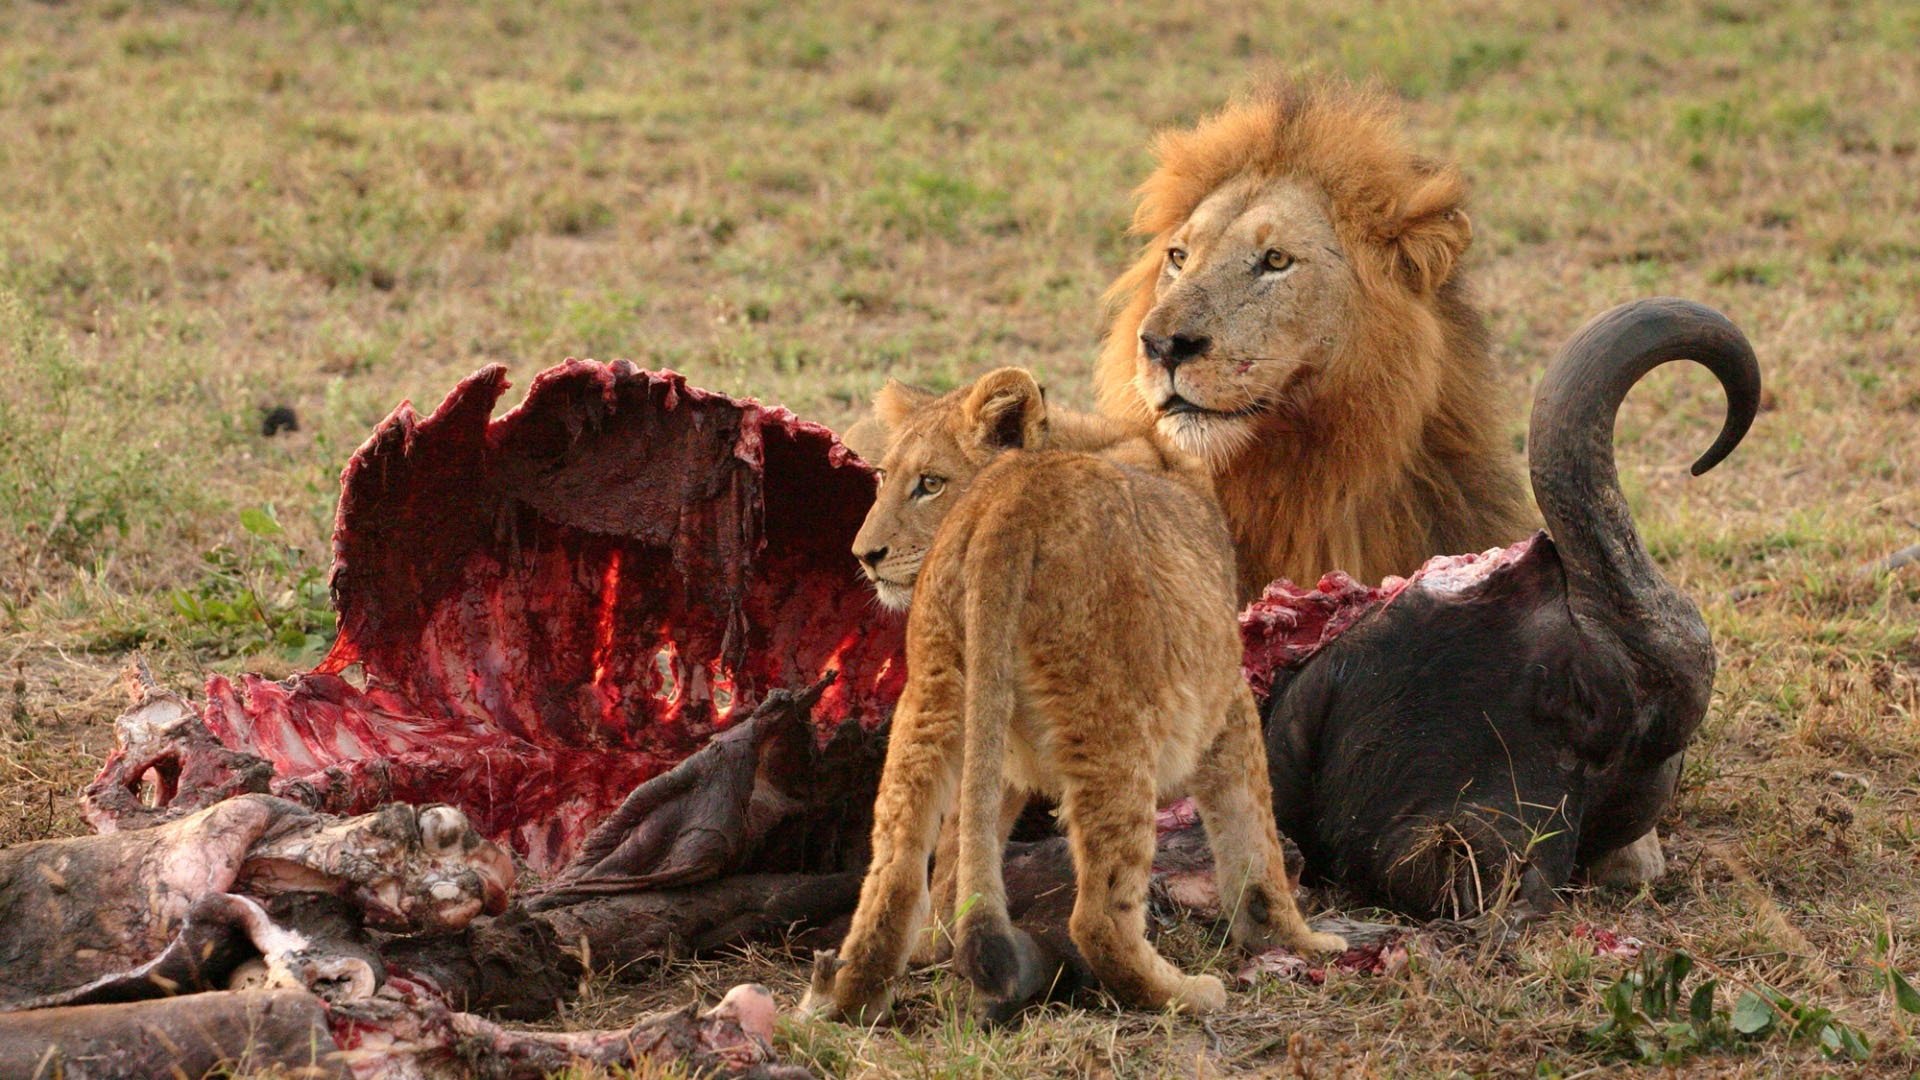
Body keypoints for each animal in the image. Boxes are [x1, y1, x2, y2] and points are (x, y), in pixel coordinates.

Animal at [799, 368, 1343, 1024]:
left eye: (927, 483)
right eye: (885, 478)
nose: (864, 555)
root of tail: (1010, 504)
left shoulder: (1000, 746)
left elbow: (961, 850)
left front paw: (938, 943)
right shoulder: (1226, 699)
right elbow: (1255, 840)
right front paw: (1297, 940)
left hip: (933, 696)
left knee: (896, 872)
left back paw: (854, 996)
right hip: (1113, 720)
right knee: (1100, 917)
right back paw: (1182, 993)